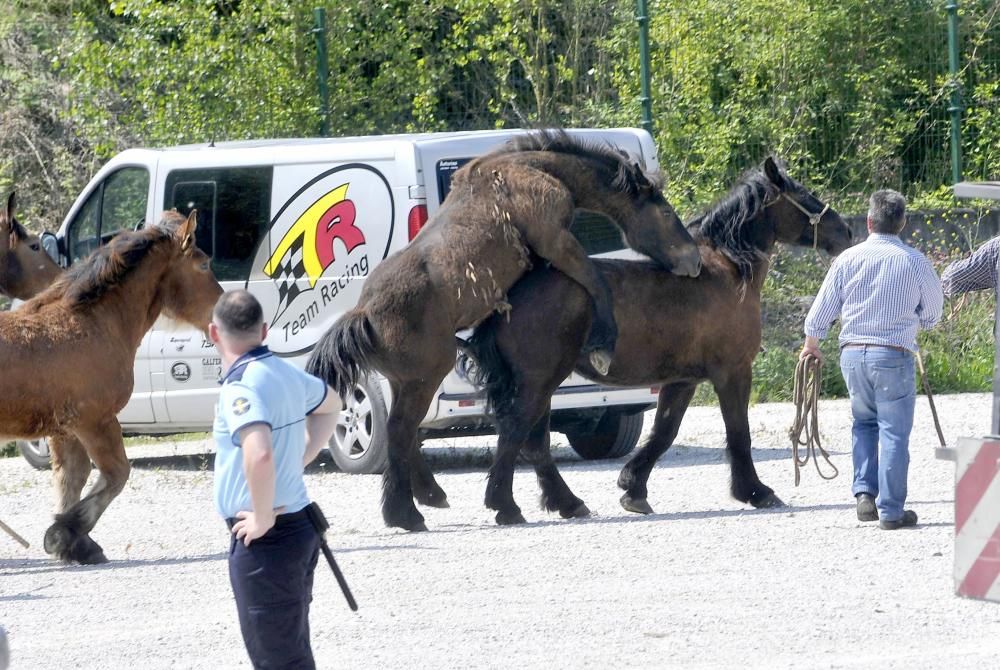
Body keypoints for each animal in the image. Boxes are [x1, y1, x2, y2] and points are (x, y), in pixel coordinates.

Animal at [0, 211, 223, 568]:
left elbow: (71, 480)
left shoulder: (64, 431)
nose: (226, 308)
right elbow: (117, 475)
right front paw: (63, 535)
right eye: (203, 264)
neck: (89, 322)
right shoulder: (95, 421)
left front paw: (75, 543)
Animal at [308, 129, 700, 532]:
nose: (694, 260)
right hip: (425, 378)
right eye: (665, 212)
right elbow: (596, 282)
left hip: (405, 382)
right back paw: (406, 513)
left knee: (402, 433)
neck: (534, 170)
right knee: (401, 431)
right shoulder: (556, 241)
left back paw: (430, 496)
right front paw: (604, 342)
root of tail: (364, 313)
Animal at [460, 158, 852, 524]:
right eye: (804, 196)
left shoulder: (683, 380)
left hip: (541, 383)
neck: (726, 270)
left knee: (535, 443)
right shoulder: (733, 372)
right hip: (539, 380)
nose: (846, 231)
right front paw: (755, 491)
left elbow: (664, 431)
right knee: (517, 433)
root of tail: (510, 294)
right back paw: (505, 505)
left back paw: (566, 503)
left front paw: (633, 488)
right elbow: (738, 432)